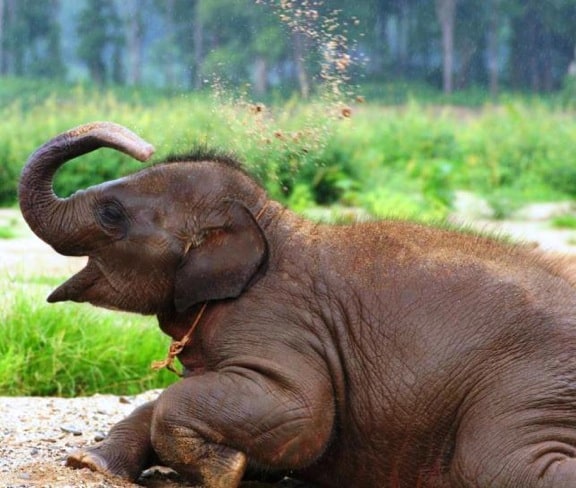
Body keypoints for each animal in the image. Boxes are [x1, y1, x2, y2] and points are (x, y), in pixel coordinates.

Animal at [18, 123, 576, 488]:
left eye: (111, 214)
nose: (145, 144)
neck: (272, 221)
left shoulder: (279, 321)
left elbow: (302, 411)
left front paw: (225, 471)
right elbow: (173, 396)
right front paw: (90, 464)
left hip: (529, 384)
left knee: (501, 464)